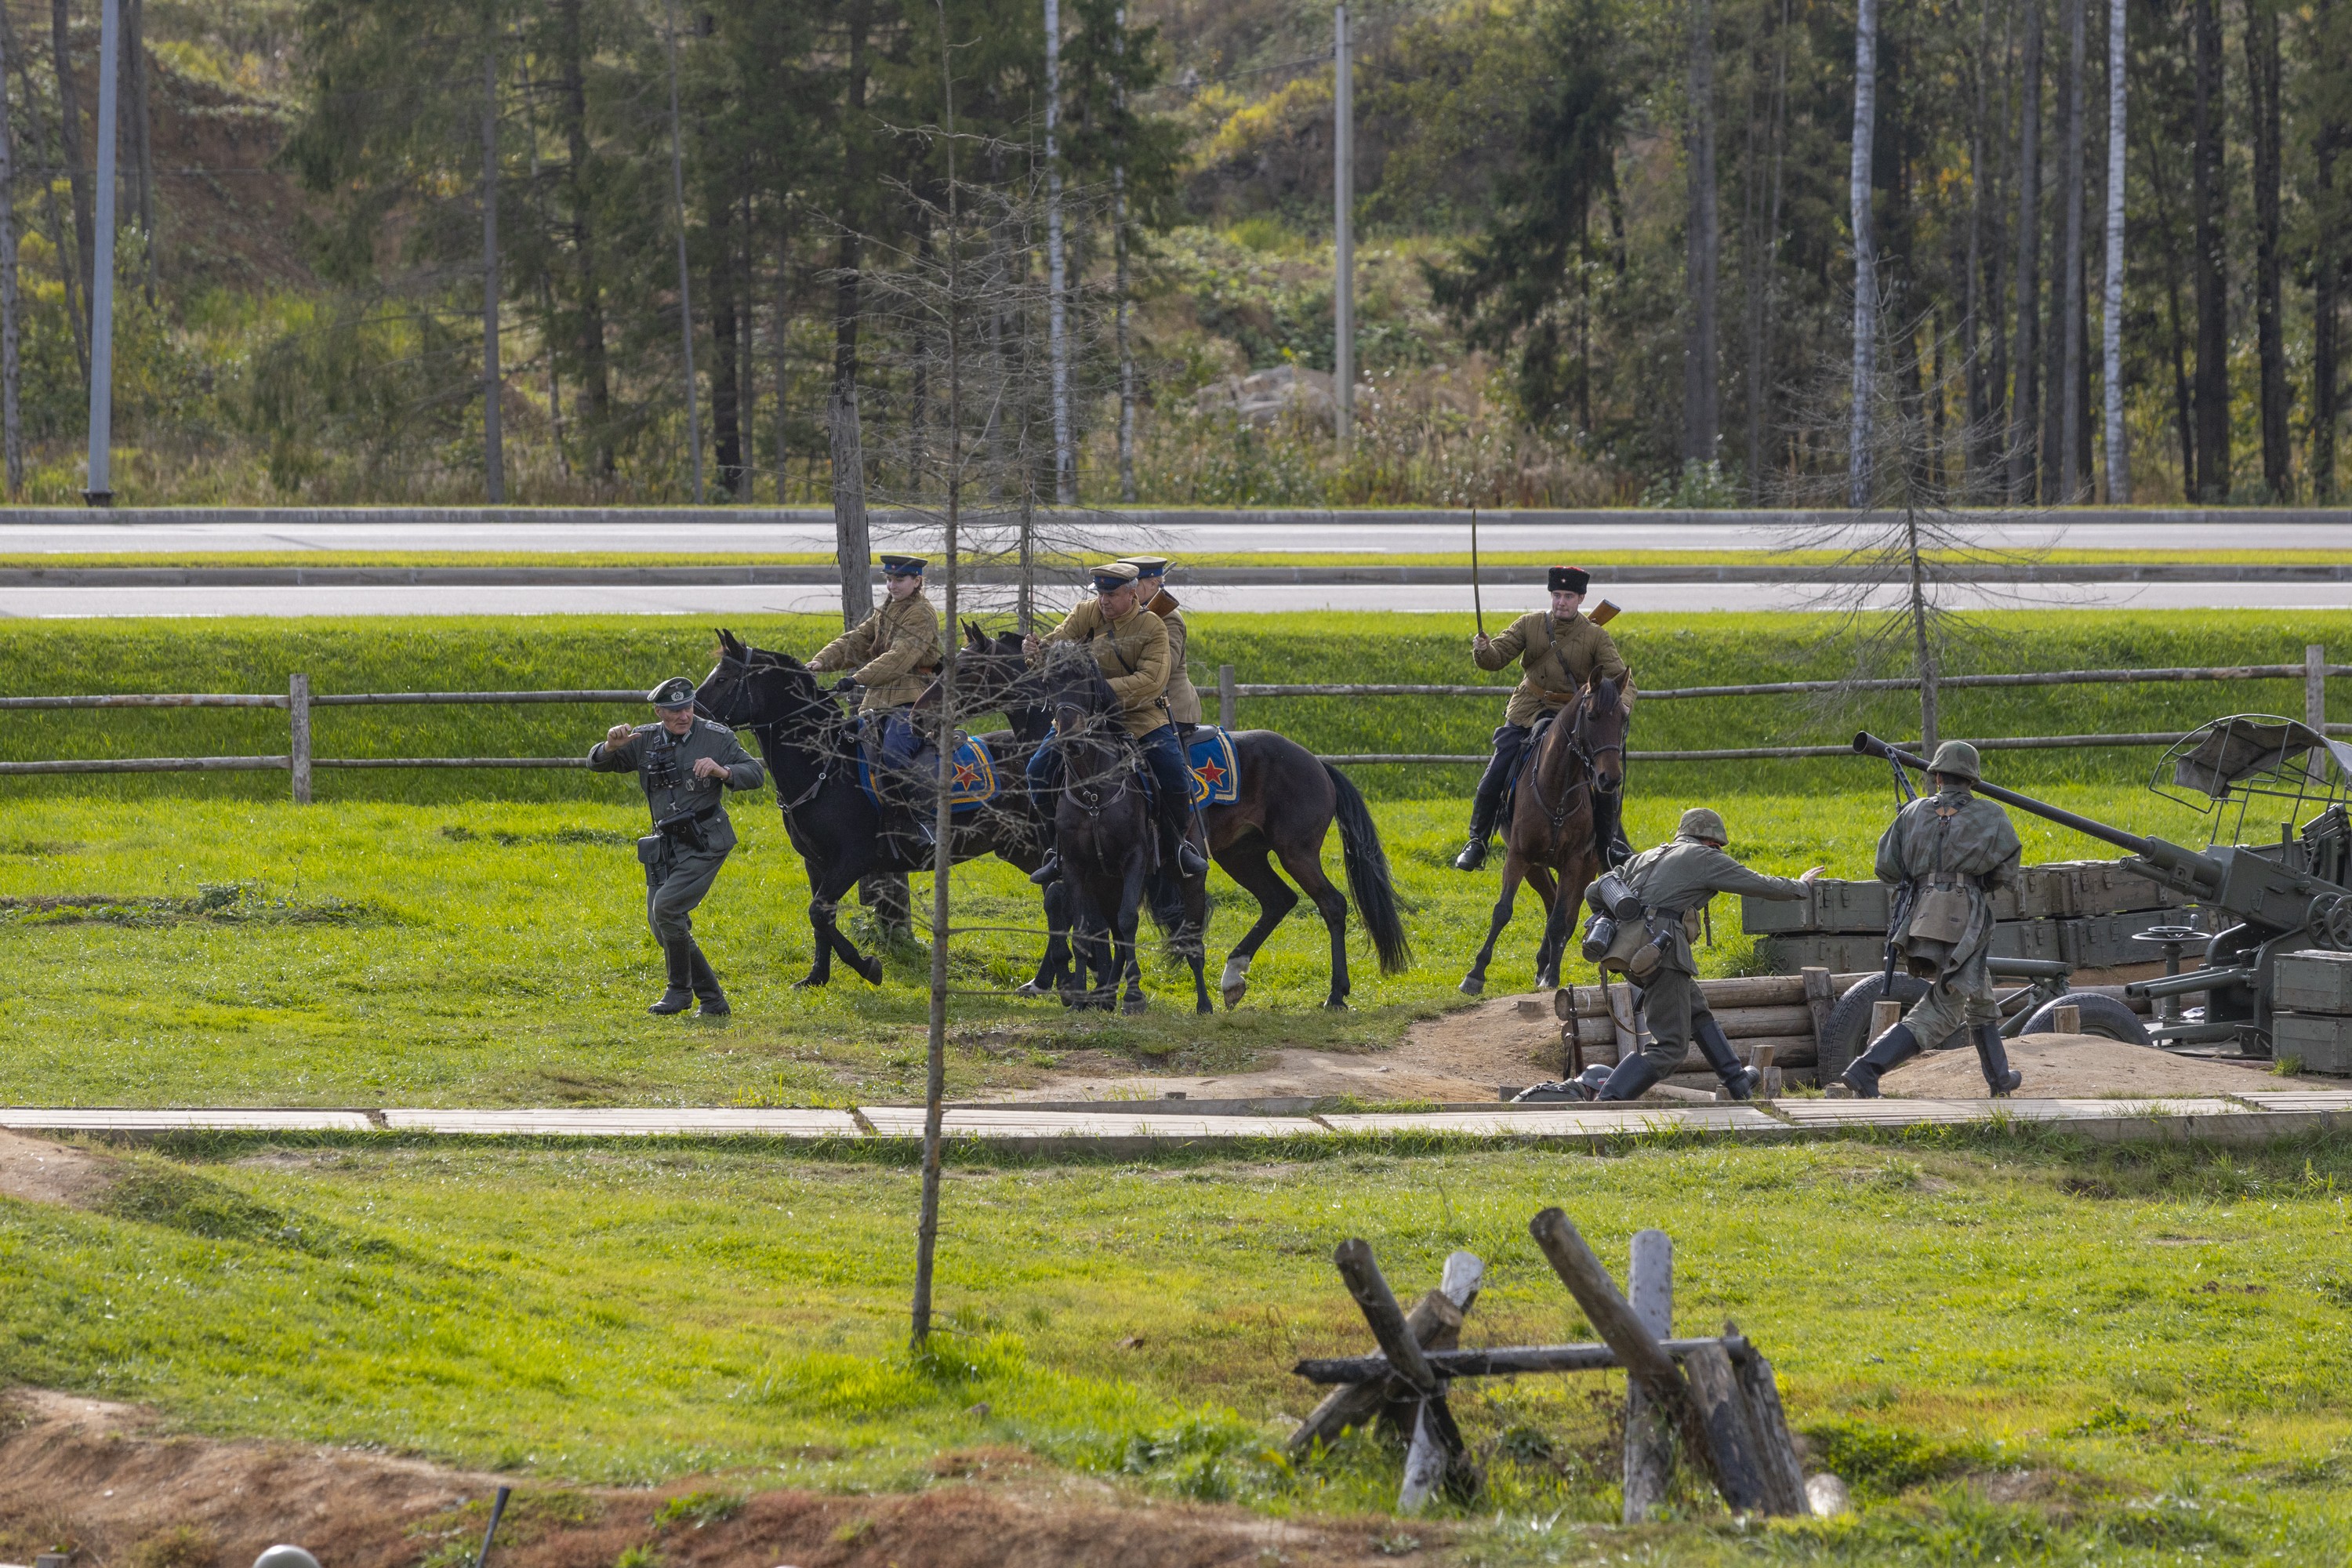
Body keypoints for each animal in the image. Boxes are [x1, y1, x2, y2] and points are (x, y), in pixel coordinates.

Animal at [691, 630, 1054, 987]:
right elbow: (821, 918)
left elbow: (818, 912)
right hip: (1020, 848)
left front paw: (867, 966)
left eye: (722, 678)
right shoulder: (814, 862)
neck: (827, 765)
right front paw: (817, 976)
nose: (691, 717)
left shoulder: (853, 859)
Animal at [960, 620, 1411, 1011]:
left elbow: (1103, 920)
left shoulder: (1128, 863)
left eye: (966, 668)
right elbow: (1091, 925)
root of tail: (1316, 762)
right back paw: (1232, 976)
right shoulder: (1077, 862)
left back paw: (1335, 993)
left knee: (1332, 904)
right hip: (1241, 855)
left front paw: (1086, 988)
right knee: (1278, 900)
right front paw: (1091, 992)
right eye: (1049, 681)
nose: (1069, 734)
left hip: (1295, 852)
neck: (1094, 782)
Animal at [1449, 677, 1637, 992]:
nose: (1609, 779)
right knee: (1549, 904)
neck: (1558, 791)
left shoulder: (1574, 862)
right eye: (1591, 716)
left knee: (1564, 916)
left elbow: (1561, 921)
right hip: (1535, 868)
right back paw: (1541, 962)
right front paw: (1475, 974)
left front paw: (1553, 976)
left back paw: (1547, 965)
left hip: (1586, 867)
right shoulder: (1518, 856)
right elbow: (1502, 910)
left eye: (1623, 718)